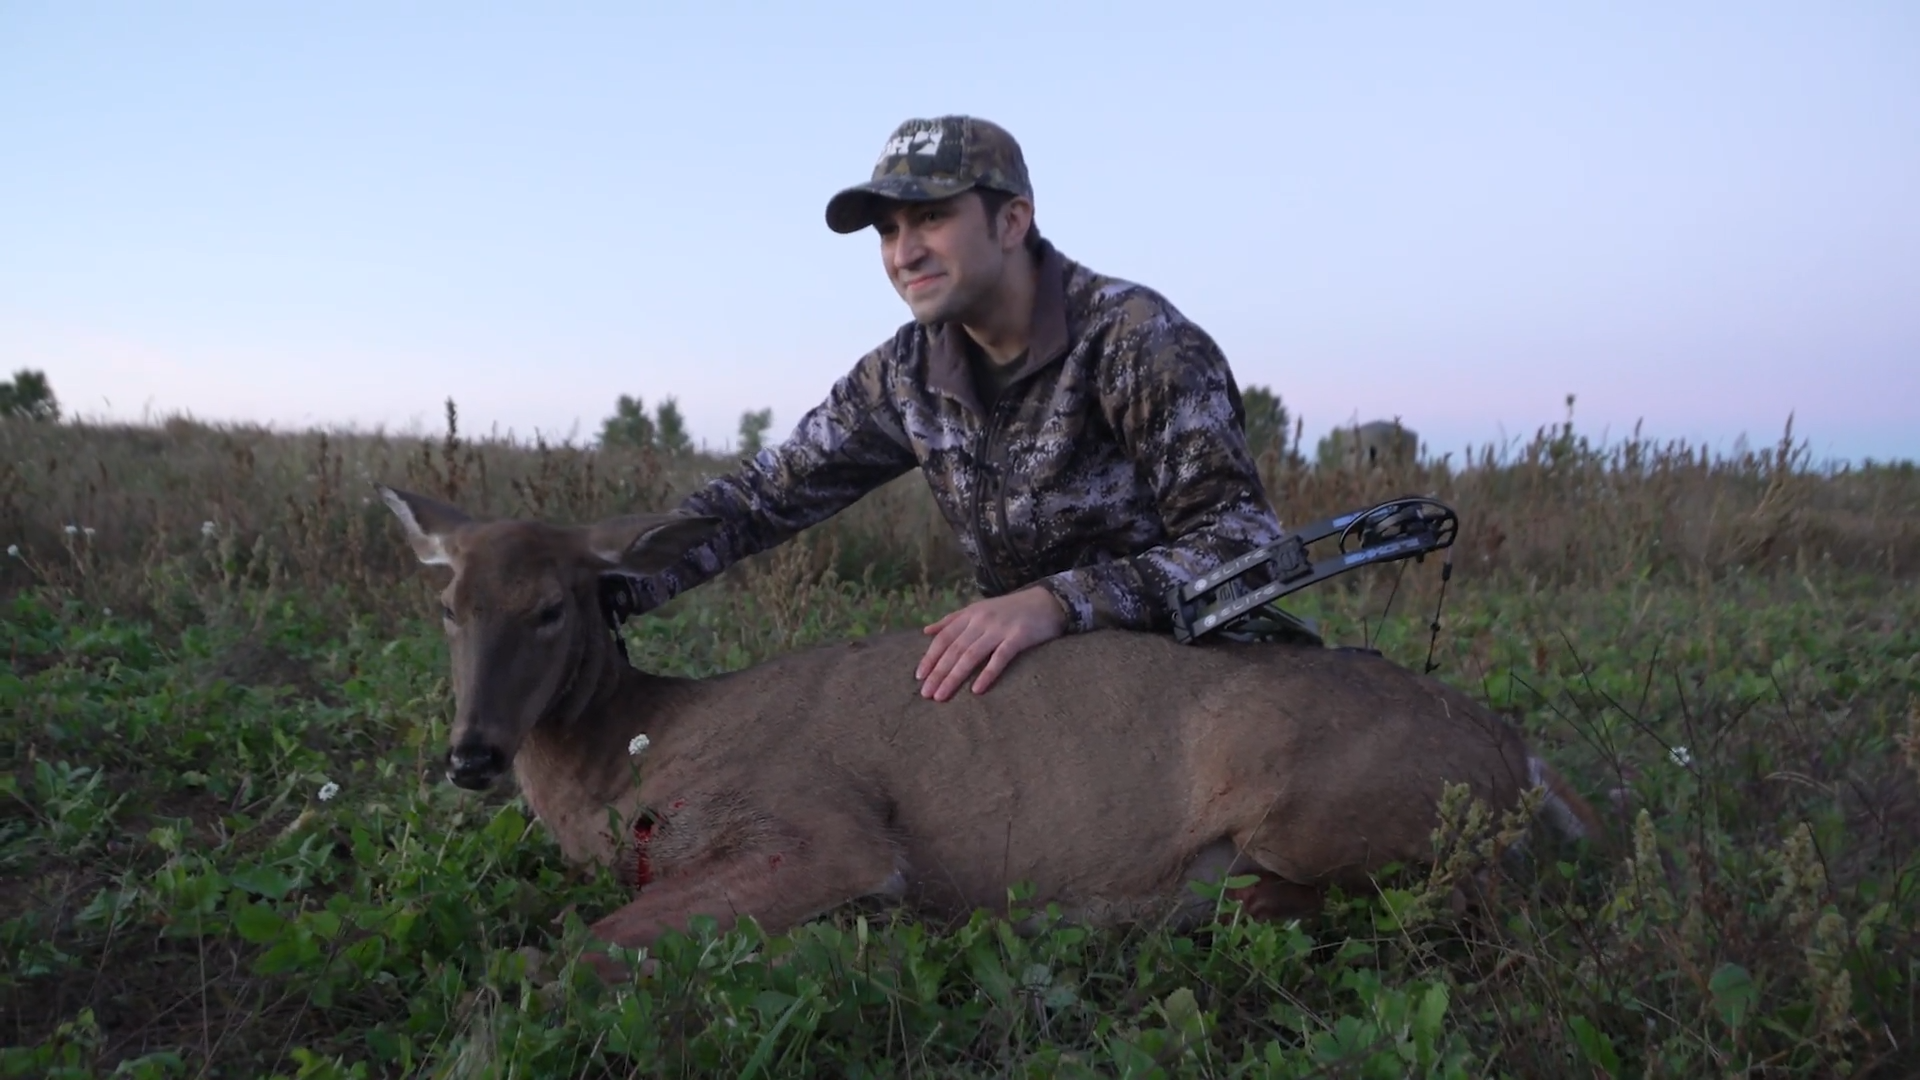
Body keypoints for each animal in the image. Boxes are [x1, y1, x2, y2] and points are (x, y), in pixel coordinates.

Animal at [377, 484, 1604, 982]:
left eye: (553, 607)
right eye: (448, 606)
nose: (472, 755)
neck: (638, 744)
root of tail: (1521, 755)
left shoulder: (821, 829)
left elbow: (567, 952)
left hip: (1310, 801)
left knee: (1454, 899)